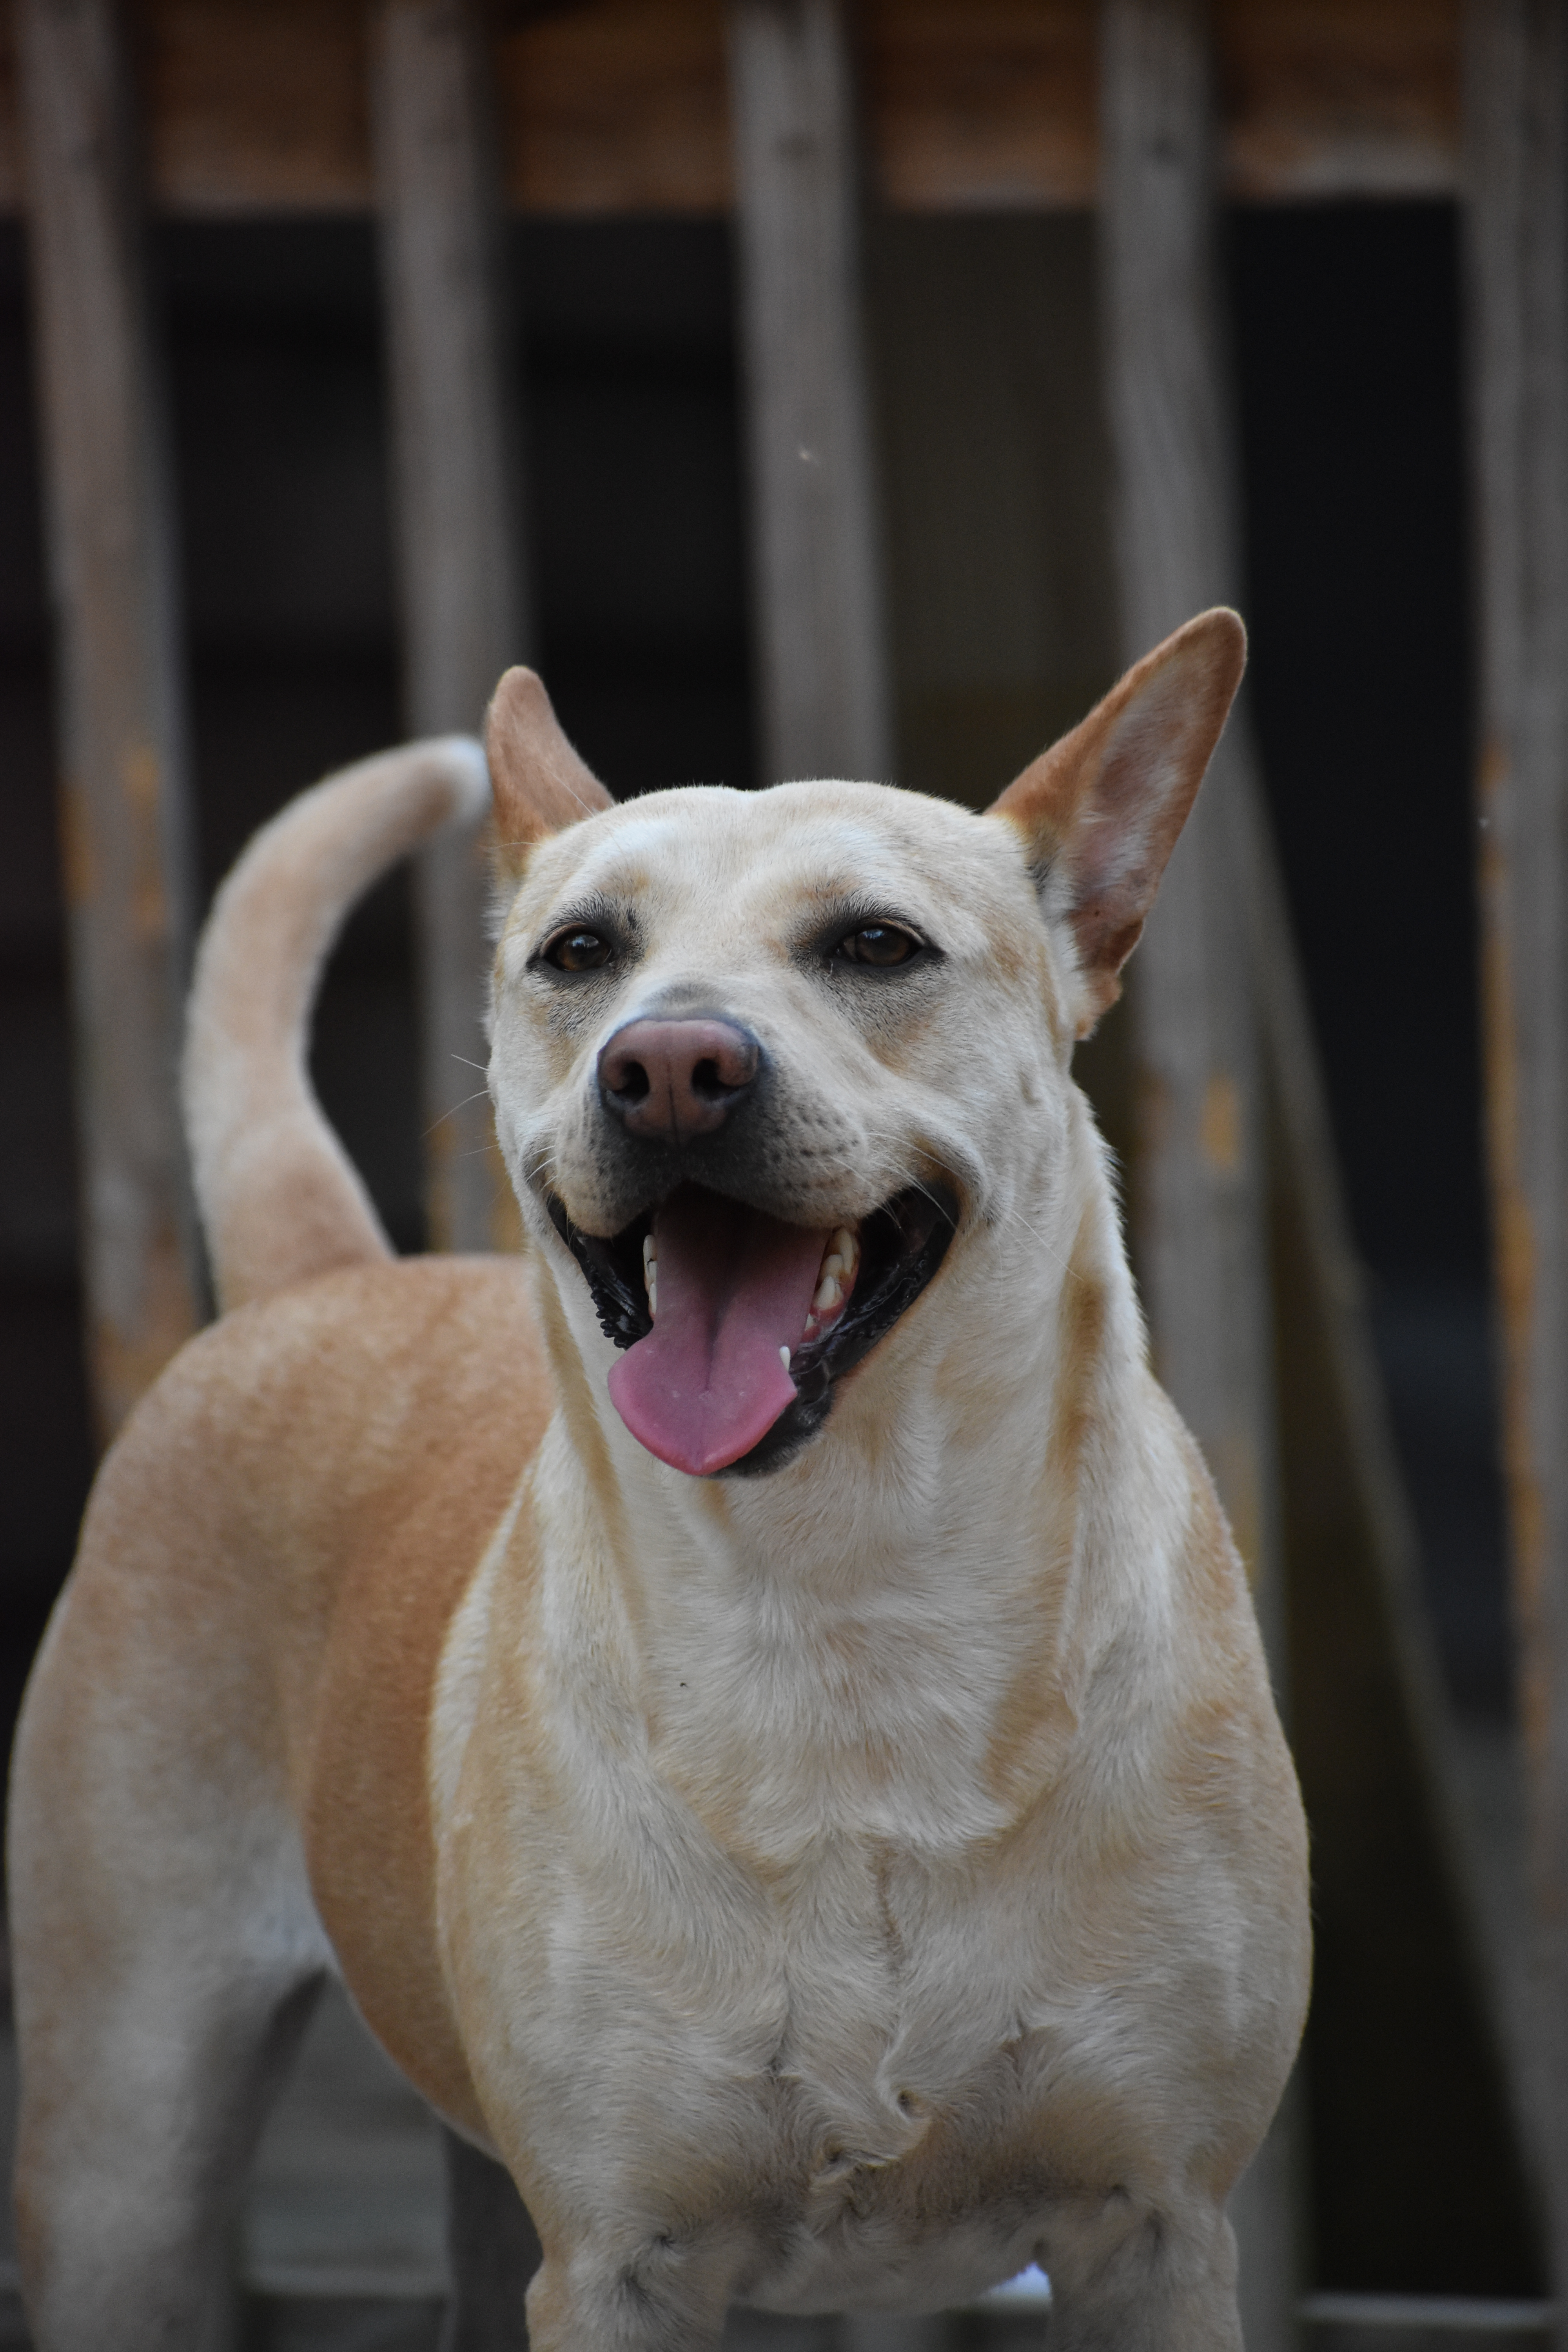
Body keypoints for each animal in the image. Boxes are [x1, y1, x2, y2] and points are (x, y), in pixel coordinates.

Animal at [9, 612, 1316, 2352]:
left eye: (878, 946)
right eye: (579, 955)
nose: (673, 1064)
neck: (846, 1597)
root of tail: (325, 1276)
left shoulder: (1161, 2231)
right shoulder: (615, 2262)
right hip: (125, 2149)